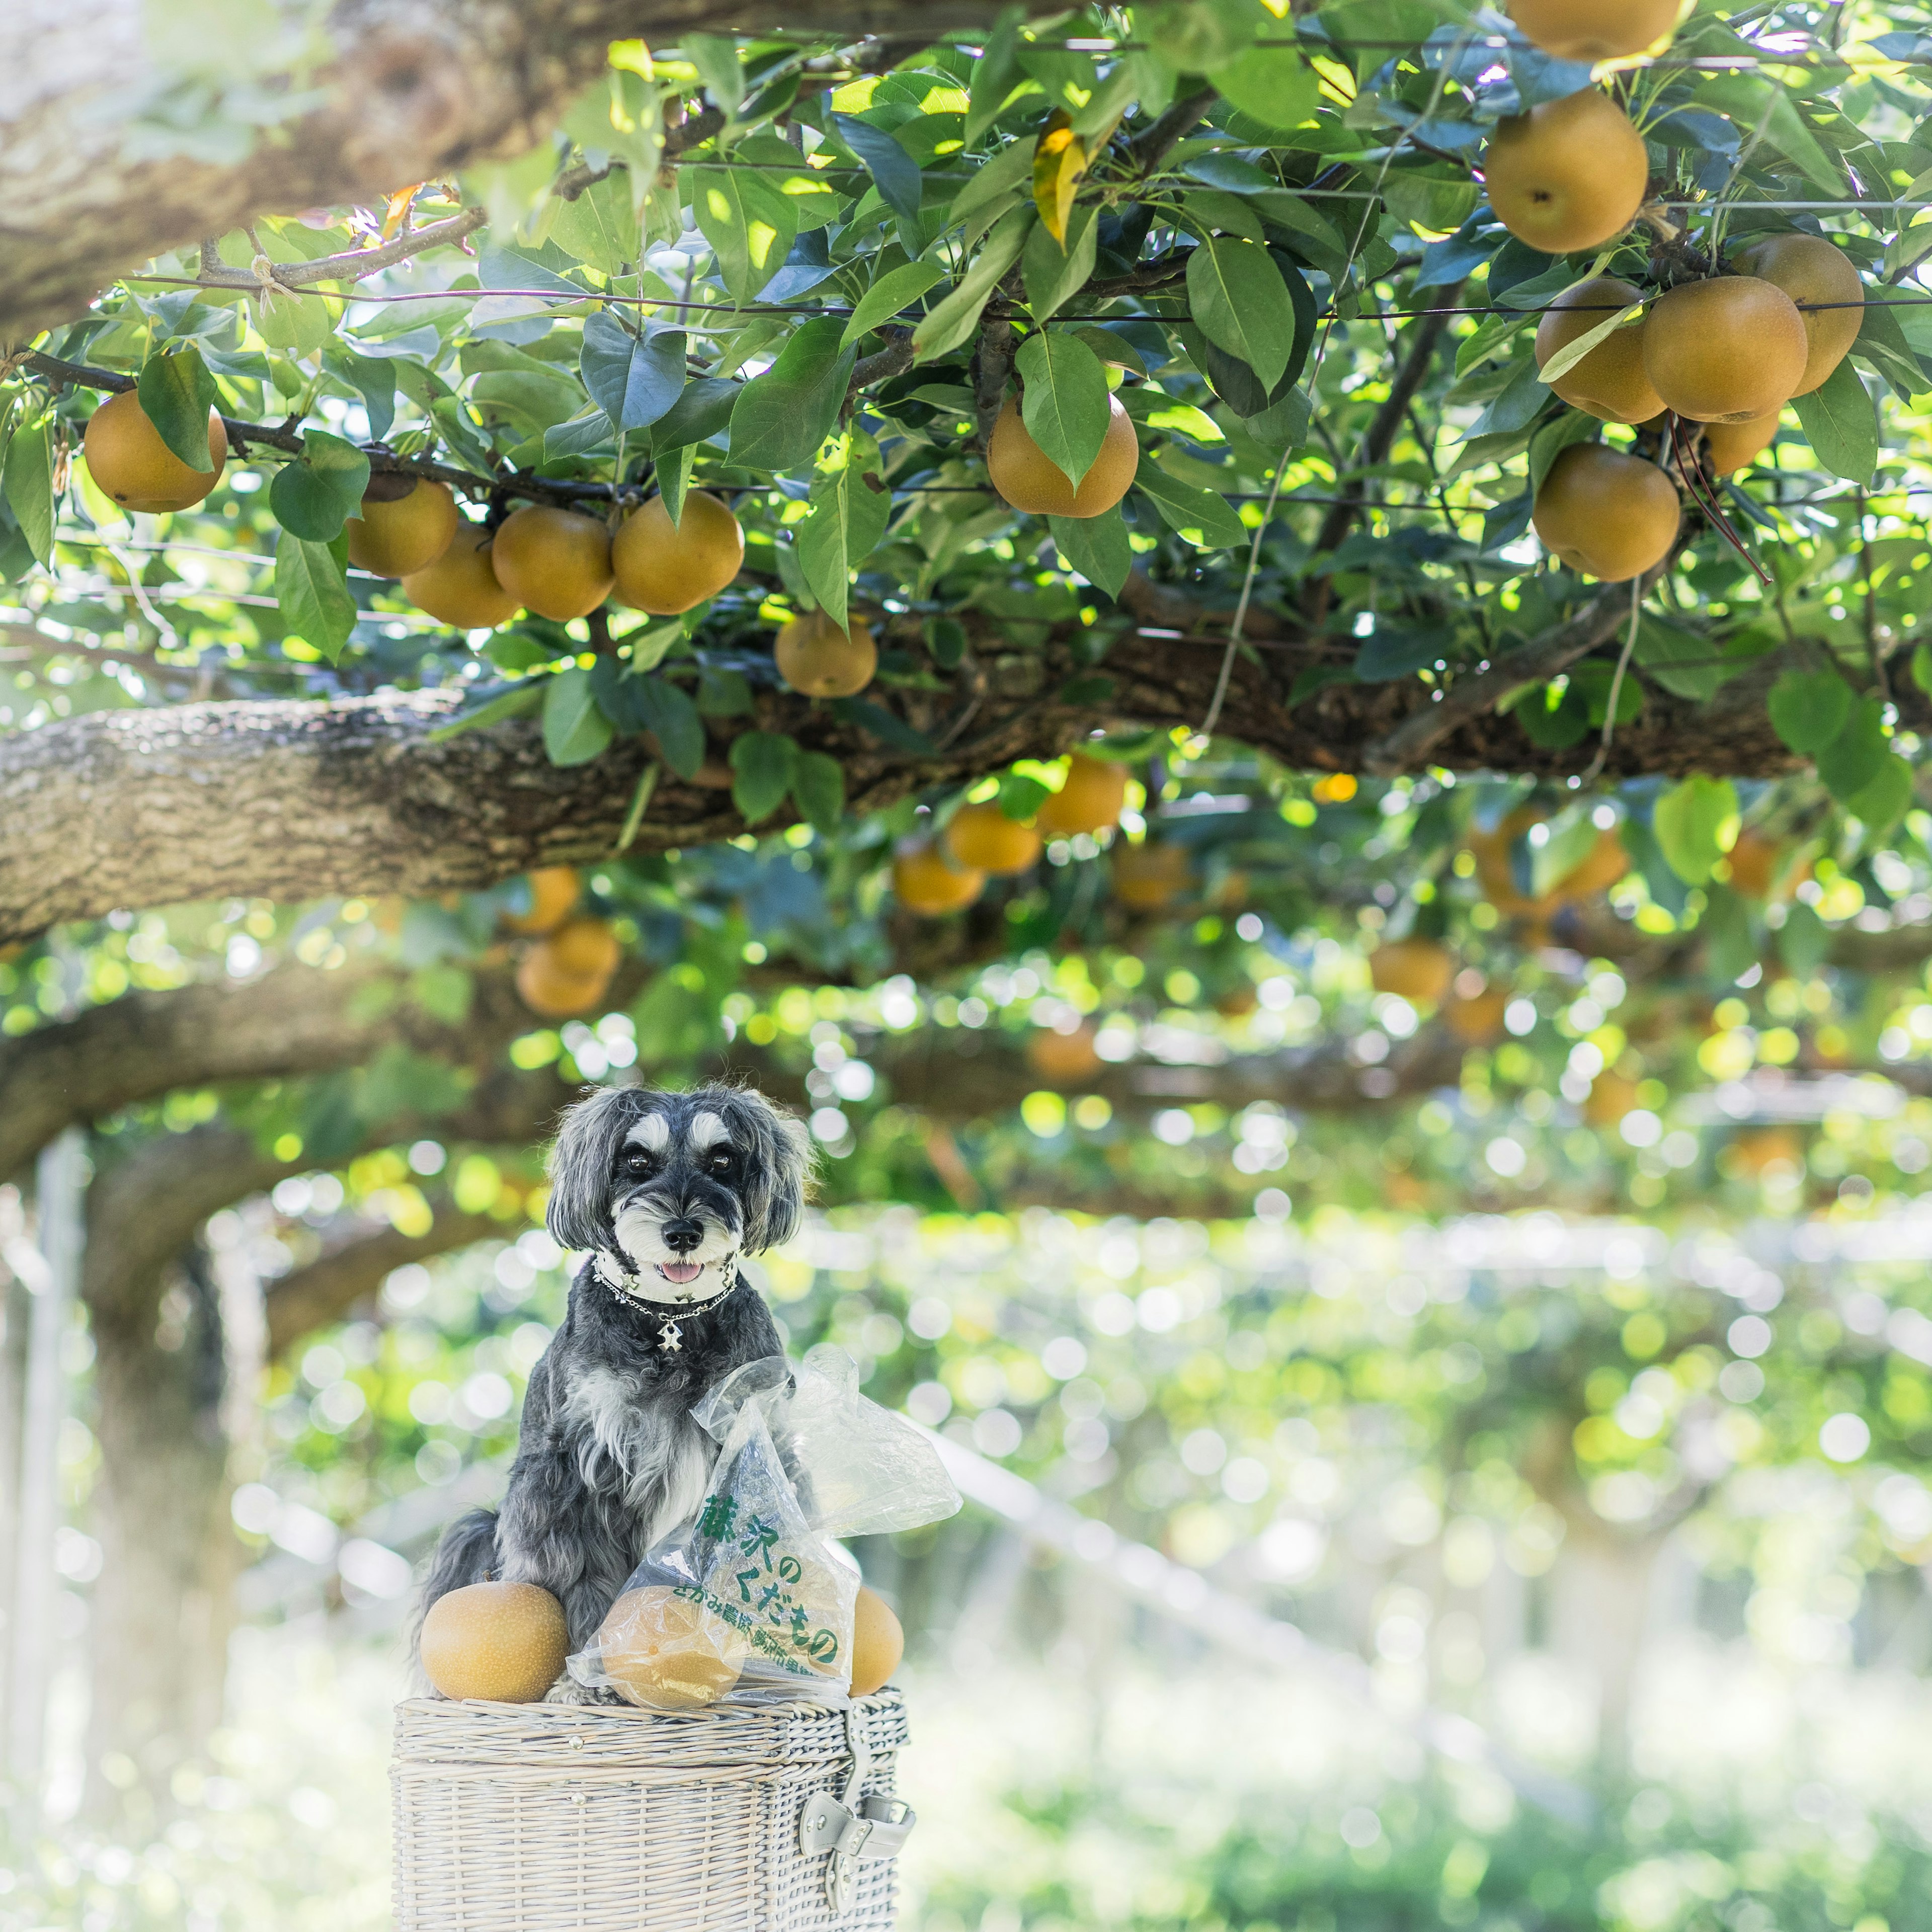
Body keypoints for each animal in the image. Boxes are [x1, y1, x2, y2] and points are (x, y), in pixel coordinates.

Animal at [419, 1089, 811, 1692]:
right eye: (636, 1161)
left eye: (722, 1160)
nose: (682, 1232)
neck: (670, 1321)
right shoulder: (576, 1472)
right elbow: (585, 1578)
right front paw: (589, 1677)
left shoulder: (752, 1451)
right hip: (484, 1533)